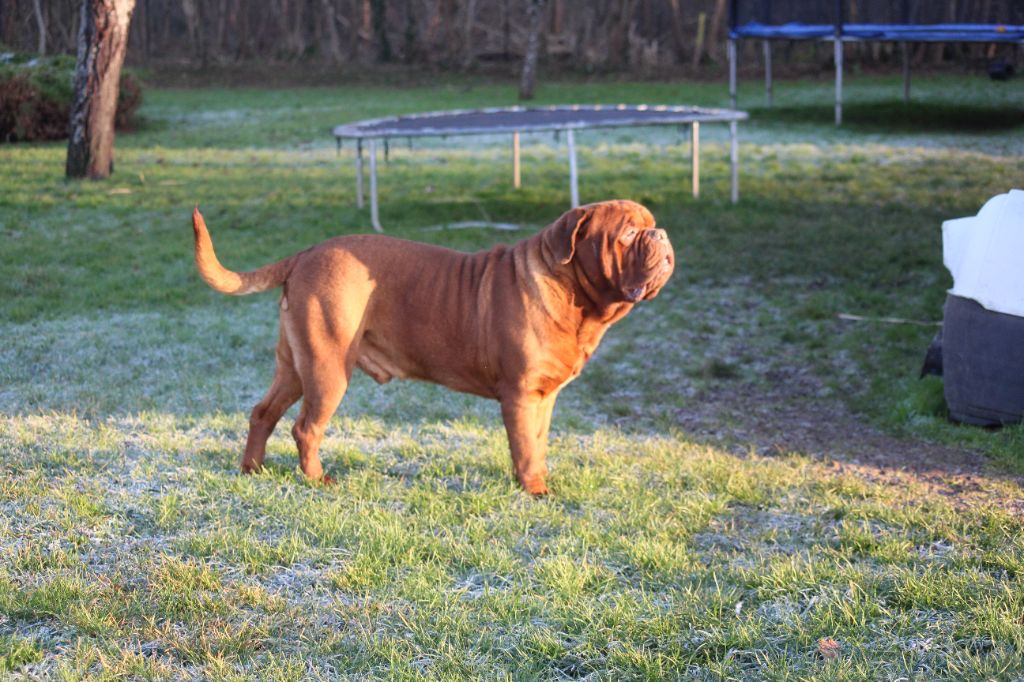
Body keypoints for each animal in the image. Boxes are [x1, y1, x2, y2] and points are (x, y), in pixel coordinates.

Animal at [191, 199, 671, 491]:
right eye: (628, 234)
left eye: (650, 226)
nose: (662, 236)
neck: (573, 296)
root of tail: (305, 254)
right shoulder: (520, 395)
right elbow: (523, 446)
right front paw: (533, 490)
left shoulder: (544, 397)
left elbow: (538, 444)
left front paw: (539, 480)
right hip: (328, 367)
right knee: (306, 427)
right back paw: (316, 480)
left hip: (295, 364)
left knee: (263, 412)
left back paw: (252, 469)